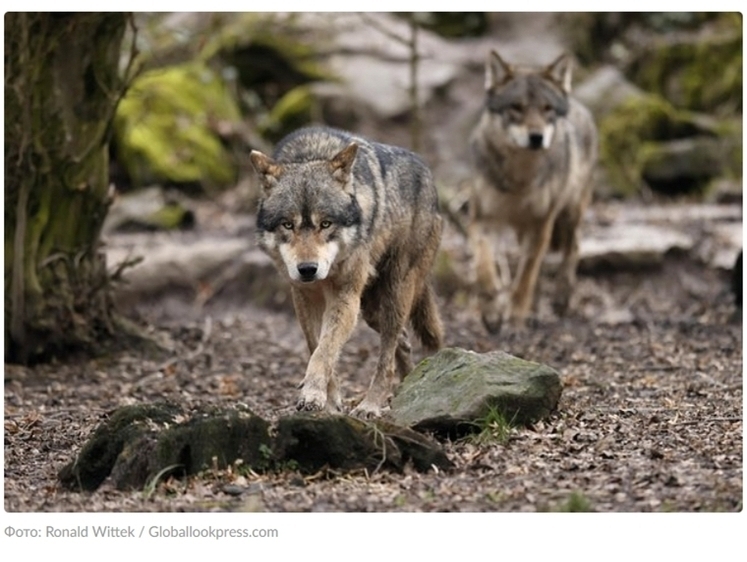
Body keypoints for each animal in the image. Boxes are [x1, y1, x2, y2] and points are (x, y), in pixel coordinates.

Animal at [250, 126, 444, 416]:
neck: (310, 154)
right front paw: (329, 402)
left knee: (387, 353)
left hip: (395, 291)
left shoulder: (345, 297)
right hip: (370, 309)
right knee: (401, 341)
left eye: (325, 224)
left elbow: (325, 350)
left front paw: (312, 393)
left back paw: (372, 403)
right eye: (287, 225)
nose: (308, 269)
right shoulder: (304, 297)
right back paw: (412, 382)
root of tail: (430, 178)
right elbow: (317, 346)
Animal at [470, 50, 600, 330]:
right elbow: (484, 269)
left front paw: (515, 318)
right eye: (516, 107)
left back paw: (562, 296)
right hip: (524, 231)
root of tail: (577, 103)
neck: (520, 181)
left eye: (547, 109)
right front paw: (492, 313)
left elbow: (525, 277)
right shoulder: (482, 221)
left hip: (570, 214)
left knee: (573, 247)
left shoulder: (541, 225)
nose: (536, 137)